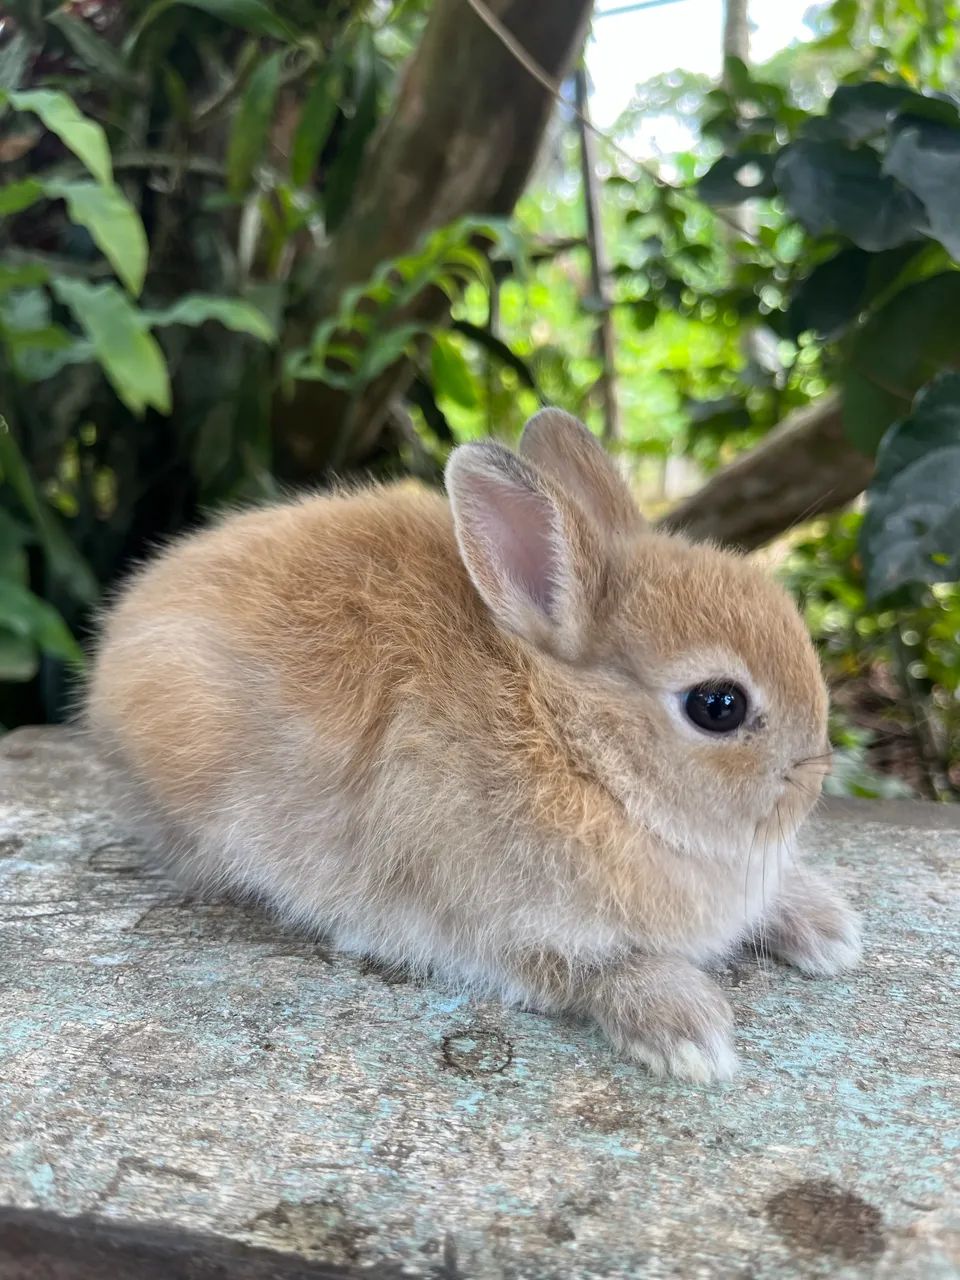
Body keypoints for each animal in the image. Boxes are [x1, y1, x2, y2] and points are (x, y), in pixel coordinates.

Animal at [87, 408, 861, 1082]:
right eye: (718, 706)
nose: (814, 781)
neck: (572, 745)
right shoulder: (500, 925)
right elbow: (596, 969)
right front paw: (691, 1034)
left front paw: (830, 932)